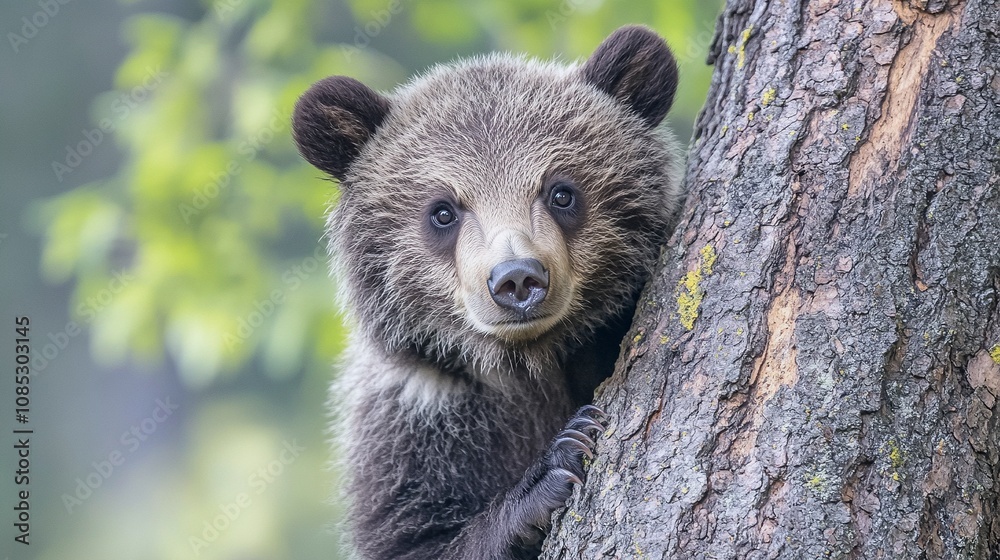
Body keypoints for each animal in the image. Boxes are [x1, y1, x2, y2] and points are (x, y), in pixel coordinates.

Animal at [292, 25, 683, 560]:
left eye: (561, 192)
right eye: (442, 211)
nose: (516, 279)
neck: (528, 362)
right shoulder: (420, 424)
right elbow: (417, 536)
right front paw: (554, 466)